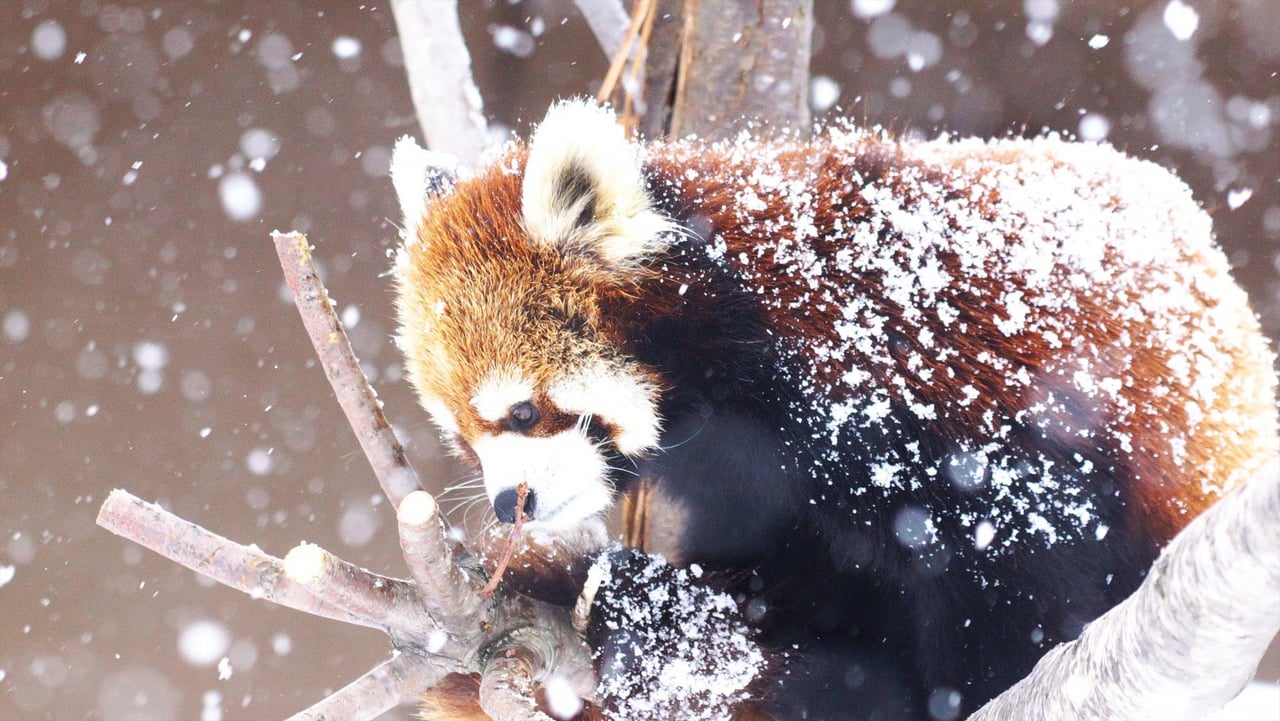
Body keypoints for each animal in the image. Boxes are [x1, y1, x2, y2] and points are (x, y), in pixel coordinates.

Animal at [389, 101, 1280, 721]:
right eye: (463, 437)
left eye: (524, 412)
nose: (512, 502)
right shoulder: (742, 478)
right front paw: (681, 619)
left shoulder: (932, 392)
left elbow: (1027, 572)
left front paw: (974, 683)